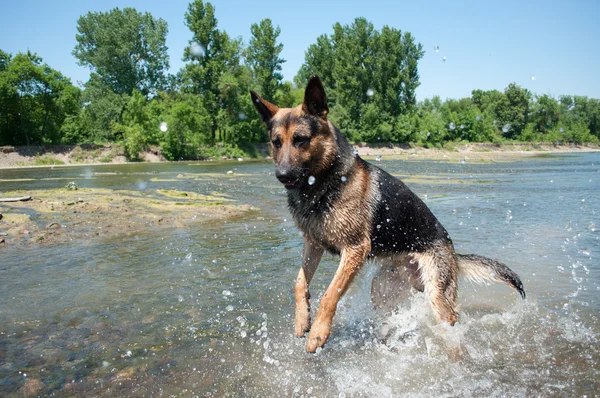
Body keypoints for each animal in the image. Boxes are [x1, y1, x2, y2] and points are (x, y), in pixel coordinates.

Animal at [251, 76, 524, 352]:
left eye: (301, 139)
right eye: (276, 142)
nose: (282, 175)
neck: (324, 181)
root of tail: (453, 252)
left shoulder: (354, 249)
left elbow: (330, 293)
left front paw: (318, 333)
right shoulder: (314, 244)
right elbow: (299, 282)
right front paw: (302, 320)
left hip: (437, 296)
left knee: (449, 322)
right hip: (381, 288)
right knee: (390, 314)